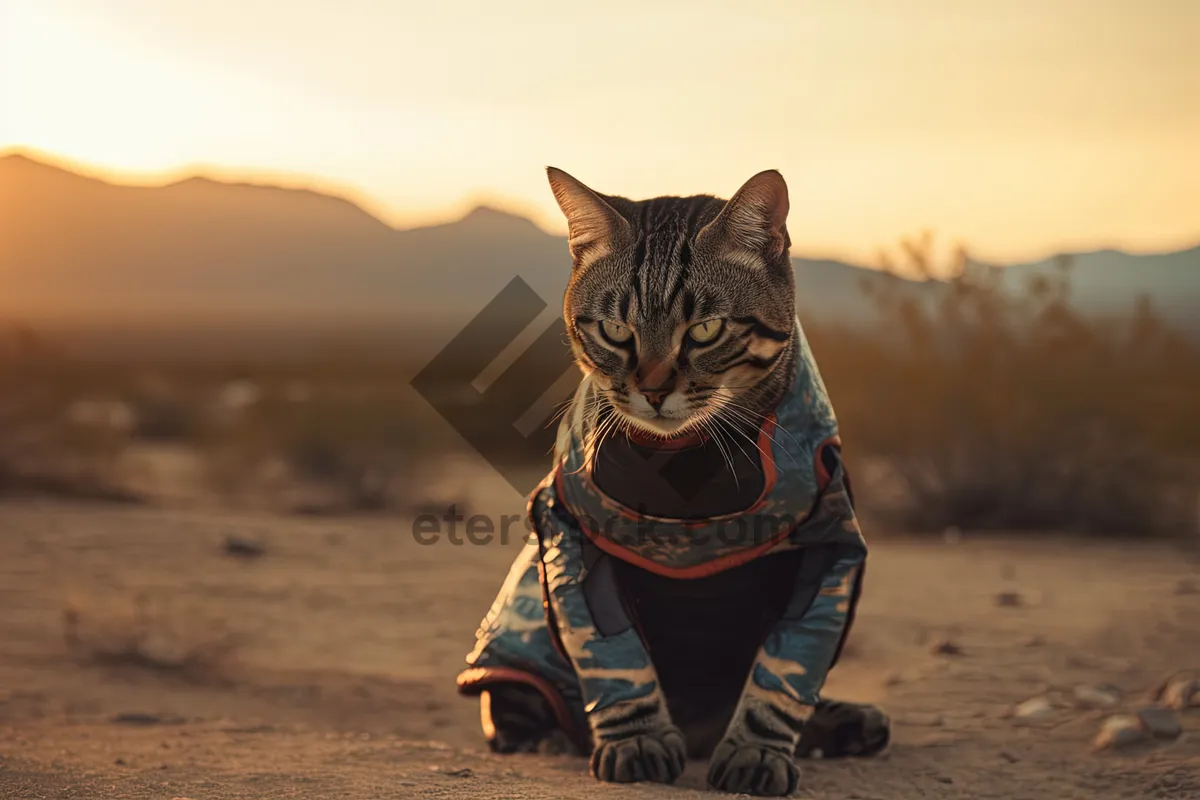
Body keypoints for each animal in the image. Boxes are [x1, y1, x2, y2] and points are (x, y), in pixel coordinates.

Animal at [458, 169, 892, 796]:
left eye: (705, 329)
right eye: (615, 330)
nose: (654, 388)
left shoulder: (829, 546)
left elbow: (785, 668)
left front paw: (758, 750)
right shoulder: (571, 538)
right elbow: (613, 654)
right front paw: (636, 740)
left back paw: (844, 724)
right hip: (518, 652)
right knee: (514, 709)